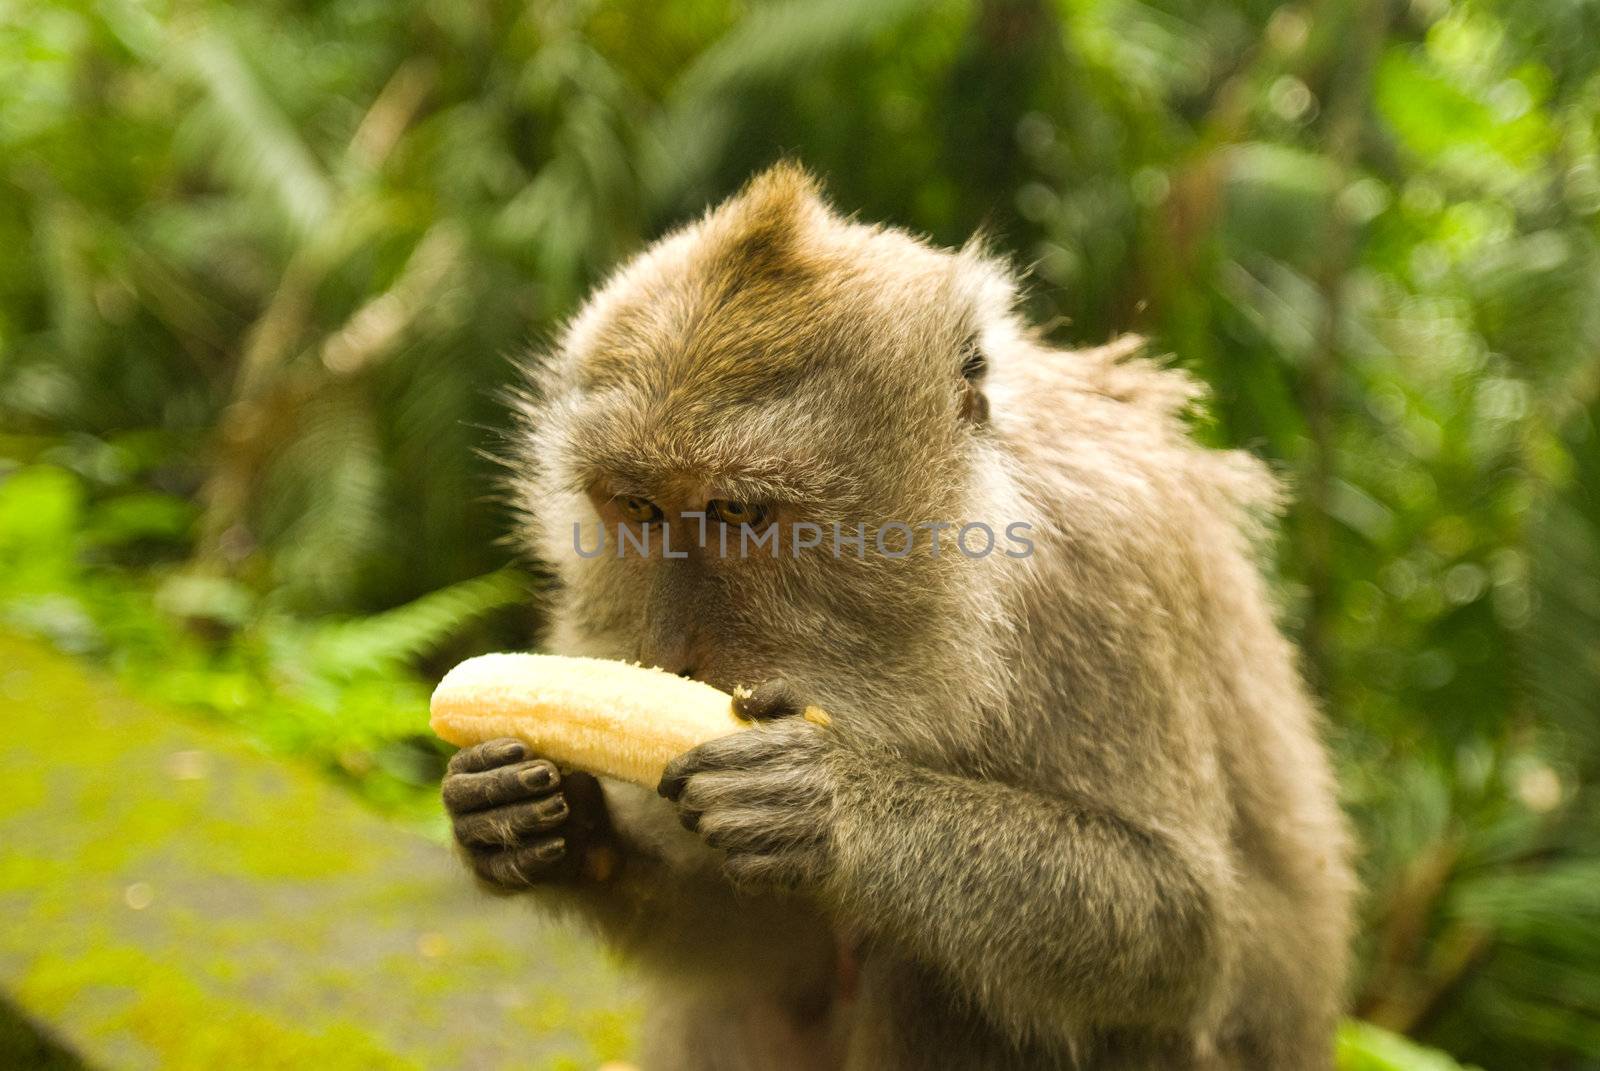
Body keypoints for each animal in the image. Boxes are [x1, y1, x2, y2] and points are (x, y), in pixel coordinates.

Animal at [444, 160, 1356, 1069]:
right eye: (638, 505)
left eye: (739, 511)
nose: (674, 651)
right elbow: (773, 945)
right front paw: (549, 827)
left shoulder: (1110, 571)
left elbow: (1184, 928)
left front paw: (837, 803)